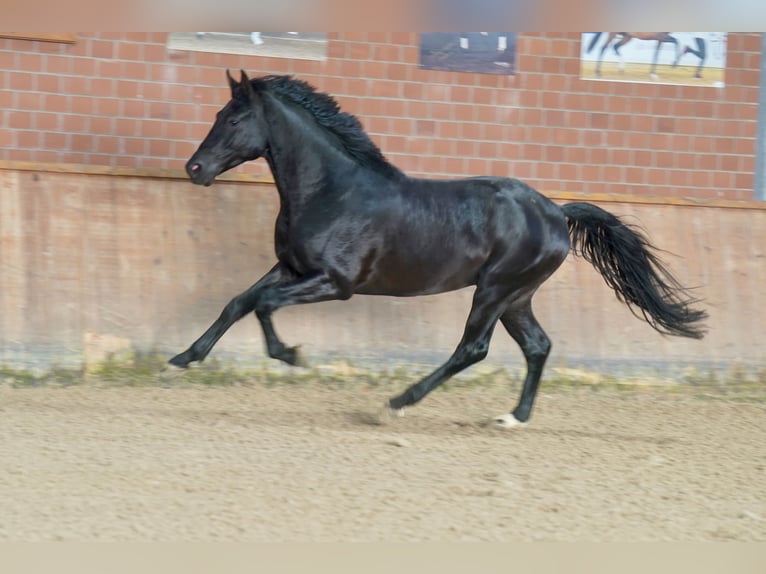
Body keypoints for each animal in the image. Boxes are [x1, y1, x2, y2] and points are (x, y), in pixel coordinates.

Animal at [171, 72, 712, 430]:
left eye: (235, 118)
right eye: (219, 114)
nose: (194, 168)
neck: (331, 191)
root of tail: (556, 213)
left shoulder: (335, 283)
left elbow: (262, 305)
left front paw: (292, 355)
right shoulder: (290, 267)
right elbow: (238, 302)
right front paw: (183, 357)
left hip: (495, 290)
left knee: (473, 348)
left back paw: (398, 402)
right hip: (517, 297)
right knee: (537, 346)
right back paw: (513, 418)